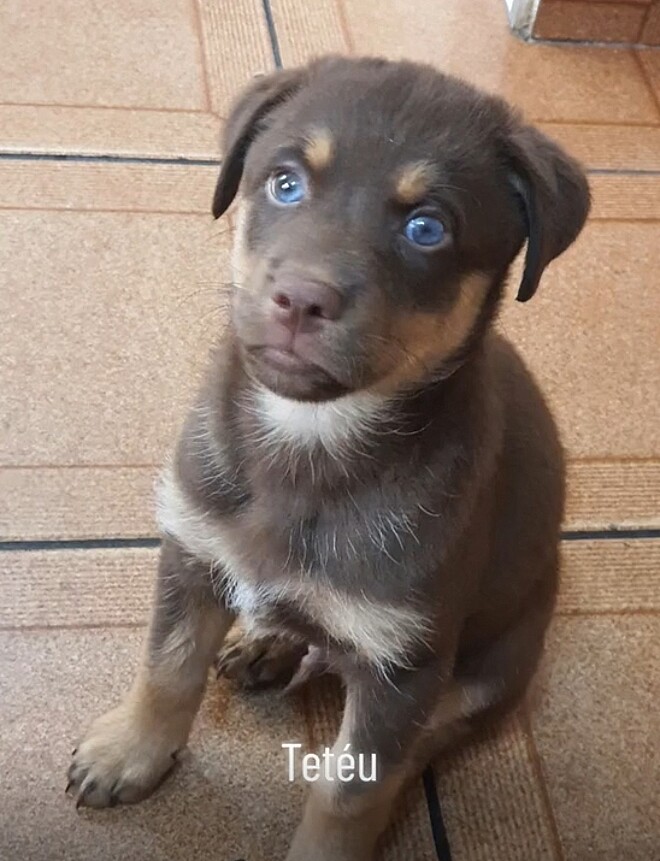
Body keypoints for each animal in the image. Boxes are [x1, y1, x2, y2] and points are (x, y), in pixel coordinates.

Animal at [69, 57, 592, 856]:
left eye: (427, 227)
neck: (308, 438)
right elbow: (168, 666)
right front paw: (129, 750)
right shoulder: (191, 547)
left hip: (487, 669)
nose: (300, 299)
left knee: (417, 743)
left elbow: (349, 790)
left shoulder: (403, 666)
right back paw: (263, 642)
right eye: (285, 183)